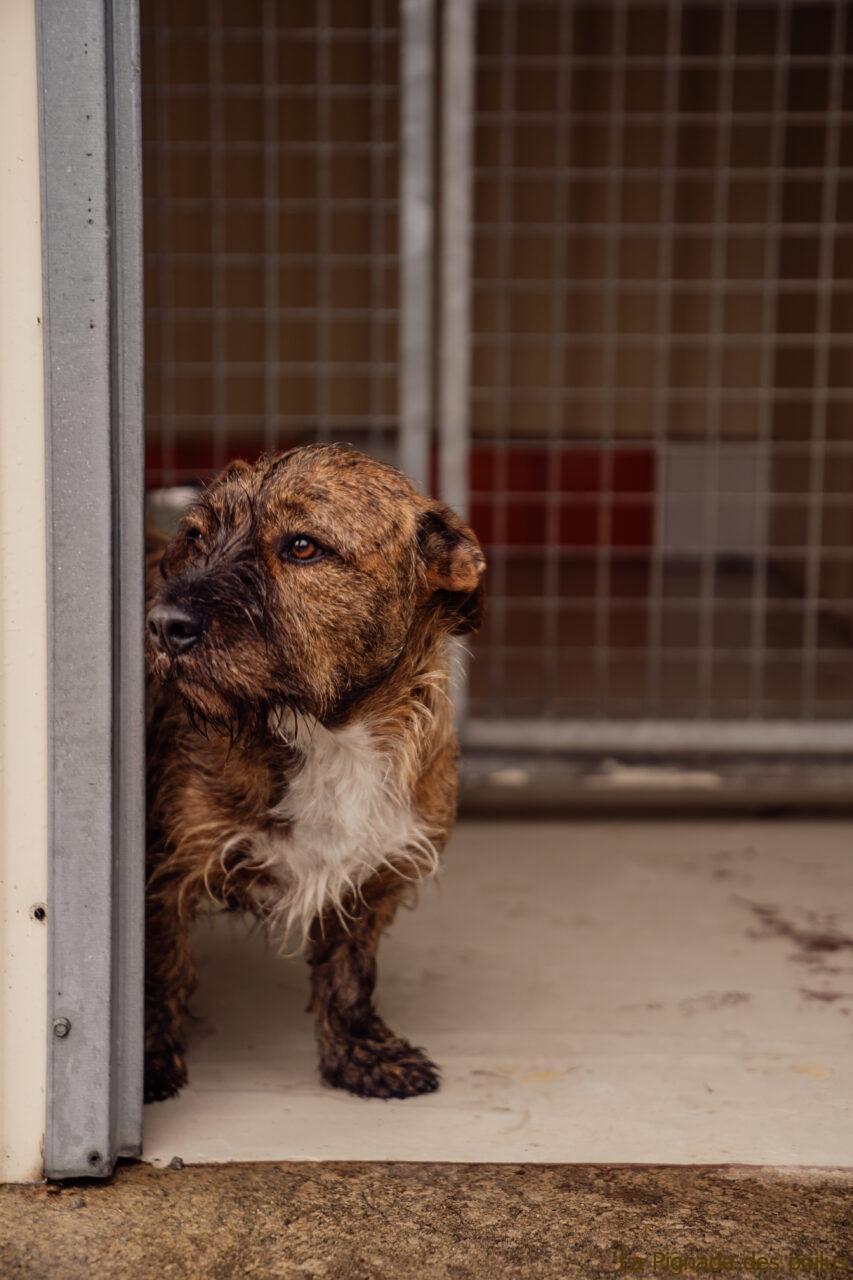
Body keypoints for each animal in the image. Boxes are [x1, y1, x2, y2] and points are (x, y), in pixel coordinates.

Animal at [146, 440, 484, 1100]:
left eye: (303, 546)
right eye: (196, 538)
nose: (163, 624)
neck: (328, 733)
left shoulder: (374, 874)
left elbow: (351, 974)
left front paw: (359, 1055)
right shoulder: (164, 870)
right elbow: (156, 969)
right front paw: (148, 1063)